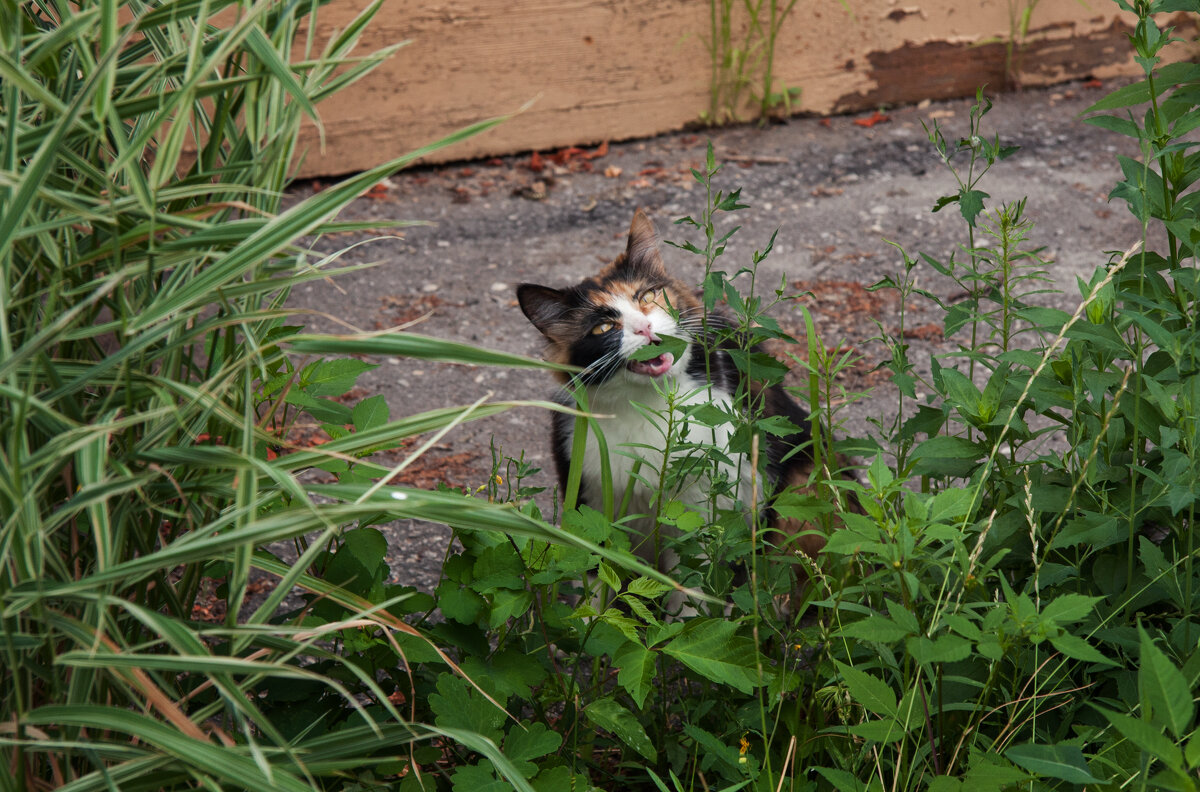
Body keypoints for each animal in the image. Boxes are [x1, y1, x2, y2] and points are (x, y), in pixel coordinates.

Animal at [516, 210, 825, 568]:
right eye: (603, 328)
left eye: (647, 297)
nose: (644, 327)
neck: (649, 405)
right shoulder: (591, 502)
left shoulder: (708, 514)